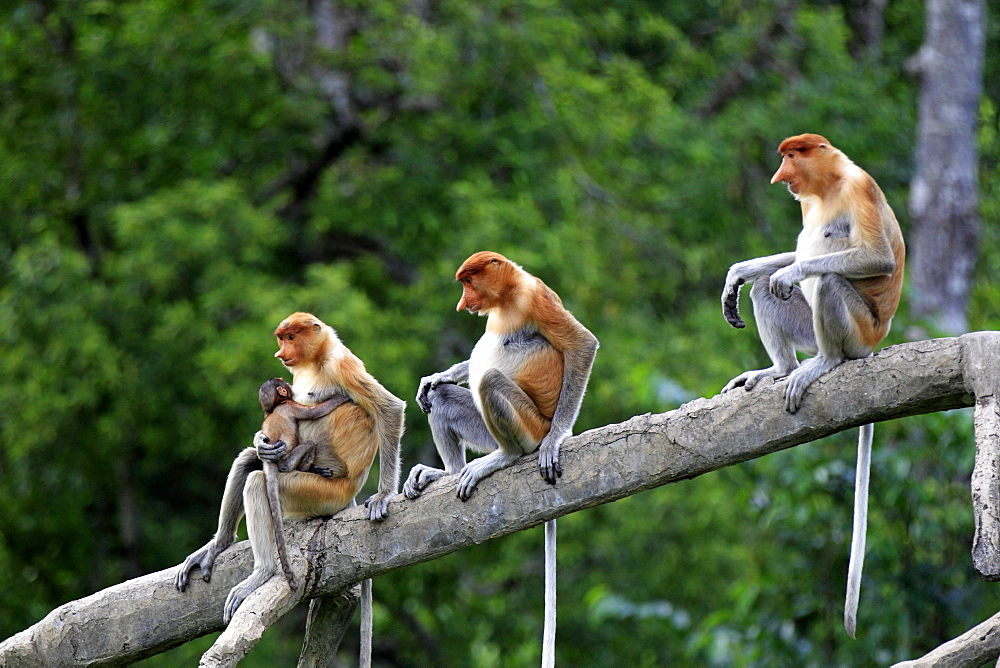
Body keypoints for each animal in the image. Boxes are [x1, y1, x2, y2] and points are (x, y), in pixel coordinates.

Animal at [256, 378, 350, 588]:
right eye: (282, 382)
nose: (286, 382)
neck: (276, 407)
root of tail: (273, 463)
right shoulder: (290, 406)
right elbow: (315, 412)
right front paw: (342, 397)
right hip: (289, 459)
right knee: (308, 445)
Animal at [402, 250, 596, 668]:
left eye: (468, 282)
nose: (462, 304)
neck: (507, 298)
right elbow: (445, 382)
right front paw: (435, 377)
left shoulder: (534, 297)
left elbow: (583, 343)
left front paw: (558, 438)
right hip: (483, 427)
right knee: (443, 400)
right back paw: (445, 472)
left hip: (528, 425)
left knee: (491, 382)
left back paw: (506, 457)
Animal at [720, 132, 908, 636]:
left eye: (792, 156)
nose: (779, 178)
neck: (828, 187)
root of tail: (875, 343)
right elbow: (776, 265)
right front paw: (738, 273)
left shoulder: (860, 188)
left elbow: (875, 258)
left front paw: (792, 272)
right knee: (765, 289)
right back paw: (779, 369)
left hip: (857, 330)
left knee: (826, 279)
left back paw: (822, 362)